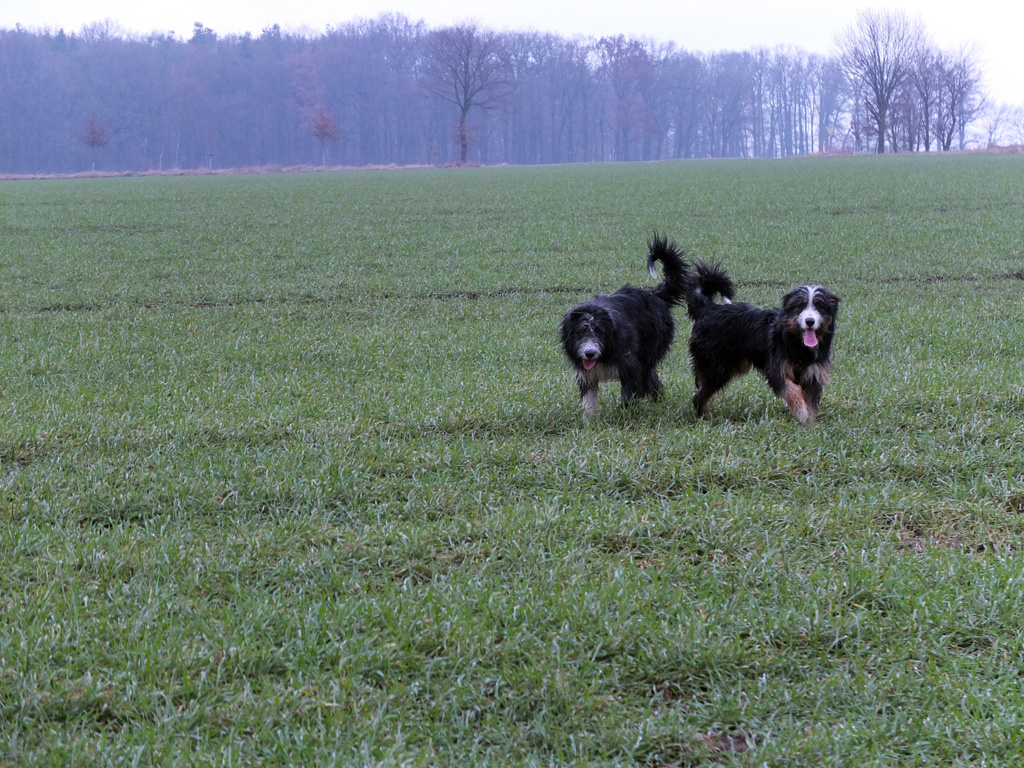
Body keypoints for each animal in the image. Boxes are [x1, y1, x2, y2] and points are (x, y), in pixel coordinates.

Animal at [560, 235, 688, 417]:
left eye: (599, 332)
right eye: (581, 331)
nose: (590, 353)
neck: (604, 355)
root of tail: (654, 295)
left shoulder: (629, 366)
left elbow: (629, 394)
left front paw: (626, 415)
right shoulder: (586, 374)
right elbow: (589, 399)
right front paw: (590, 419)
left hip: (649, 349)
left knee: (648, 375)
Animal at [683, 262, 840, 424]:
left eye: (820, 306)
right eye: (800, 306)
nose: (810, 321)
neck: (796, 342)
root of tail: (708, 308)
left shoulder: (813, 376)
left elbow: (811, 404)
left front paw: (810, 424)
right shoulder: (776, 369)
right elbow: (792, 391)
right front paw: (801, 413)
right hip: (717, 366)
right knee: (698, 396)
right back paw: (704, 419)